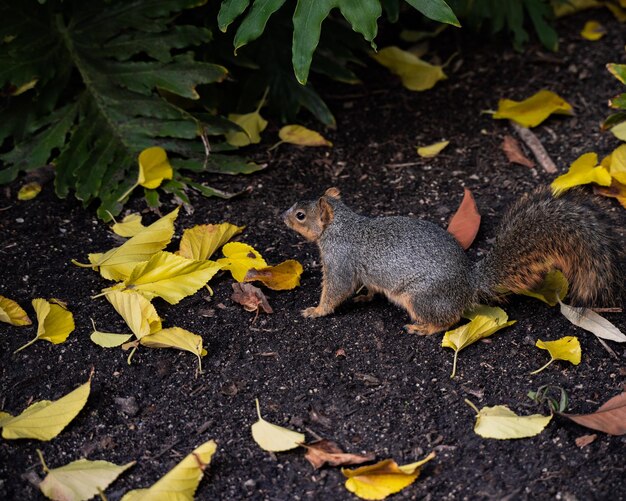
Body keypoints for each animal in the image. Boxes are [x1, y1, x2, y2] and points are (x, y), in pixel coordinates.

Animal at [282, 186, 620, 334]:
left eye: (300, 215)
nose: (281, 215)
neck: (342, 225)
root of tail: (469, 283)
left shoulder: (340, 259)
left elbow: (336, 289)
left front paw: (316, 310)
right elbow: (367, 286)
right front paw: (366, 296)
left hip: (422, 298)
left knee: (449, 320)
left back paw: (424, 328)